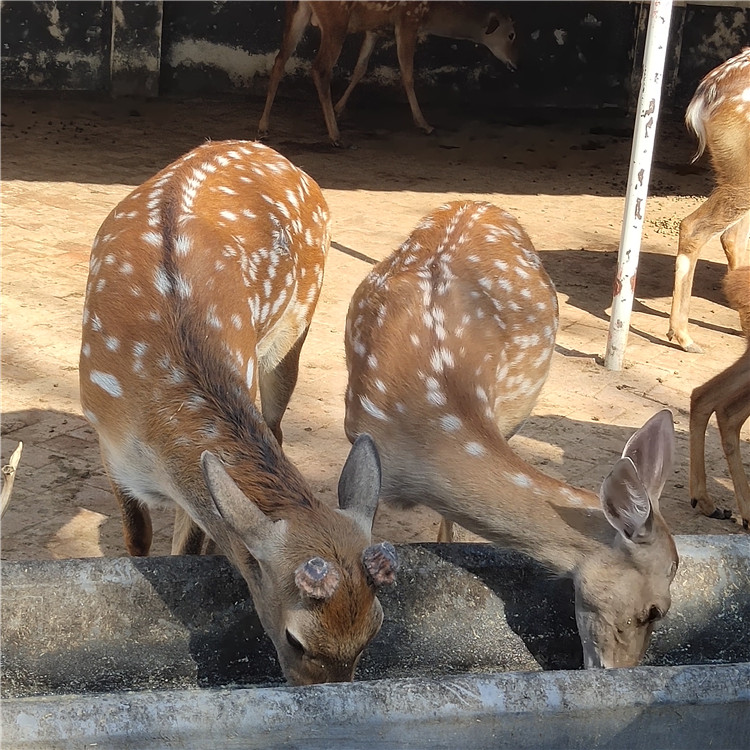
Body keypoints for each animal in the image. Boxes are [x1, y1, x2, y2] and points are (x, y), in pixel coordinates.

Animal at [79, 141, 400, 688]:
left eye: (374, 630)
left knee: (276, 423)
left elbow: (186, 550)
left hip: (295, 326)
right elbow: (138, 541)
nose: (326, 695)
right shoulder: (107, 444)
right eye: (296, 638)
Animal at [258, 1, 516, 147]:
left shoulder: (375, 29)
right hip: (336, 19)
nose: (515, 63)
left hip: (297, 11)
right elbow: (408, 73)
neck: (433, 12)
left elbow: (361, 68)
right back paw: (335, 136)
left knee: (280, 60)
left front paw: (340, 108)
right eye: (512, 34)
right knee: (320, 67)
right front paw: (425, 124)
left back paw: (263, 127)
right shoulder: (408, 20)